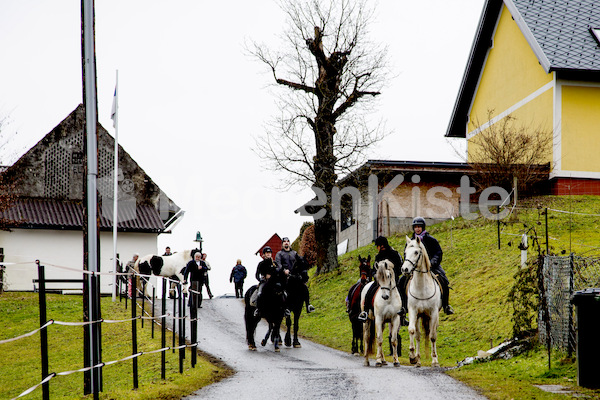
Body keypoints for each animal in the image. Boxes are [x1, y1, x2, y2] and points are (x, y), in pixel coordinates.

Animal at [400, 236, 442, 368]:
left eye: (416, 252)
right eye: (405, 252)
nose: (405, 269)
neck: (422, 288)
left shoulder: (433, 313)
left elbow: (432, 336)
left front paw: (435, 361)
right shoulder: (413, 312)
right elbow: (412, 331)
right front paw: (412, 356)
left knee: (433, 333)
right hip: (419, 316)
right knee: (418, 336)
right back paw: (418, 360)